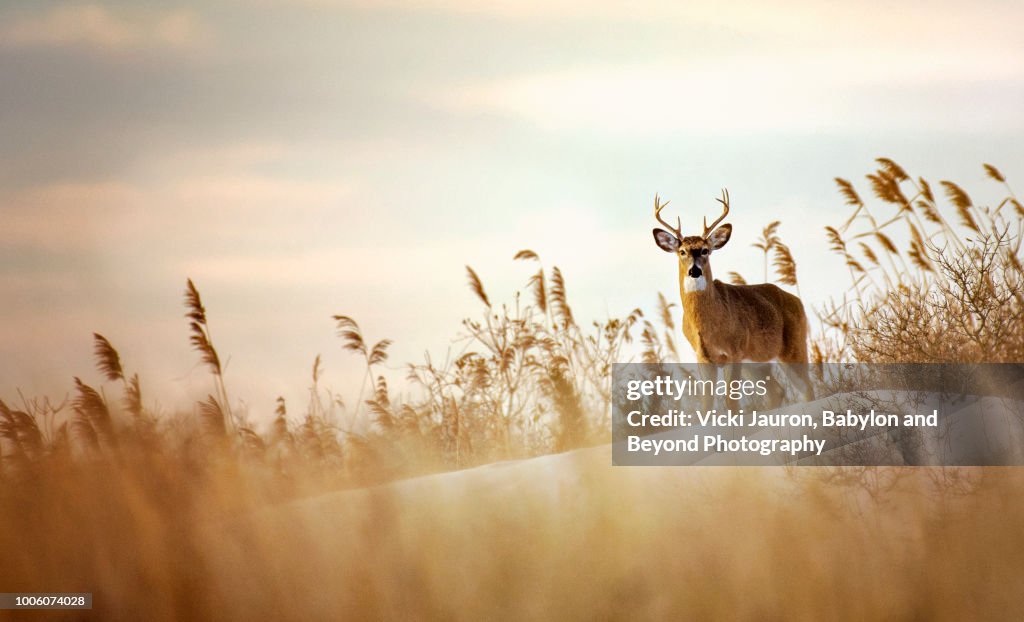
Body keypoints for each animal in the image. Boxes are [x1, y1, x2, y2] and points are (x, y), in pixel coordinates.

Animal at [655, 188, 815, 403]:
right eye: (682, 251)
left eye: (705, 250)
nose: (694, 270)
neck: (708, 326)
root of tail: (798, 301)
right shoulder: (703, 357)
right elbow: (706, 402)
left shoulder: (734, 352)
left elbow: (731, 402)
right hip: (756, 363)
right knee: (777, 390)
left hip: (793, 347)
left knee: (807, 388)